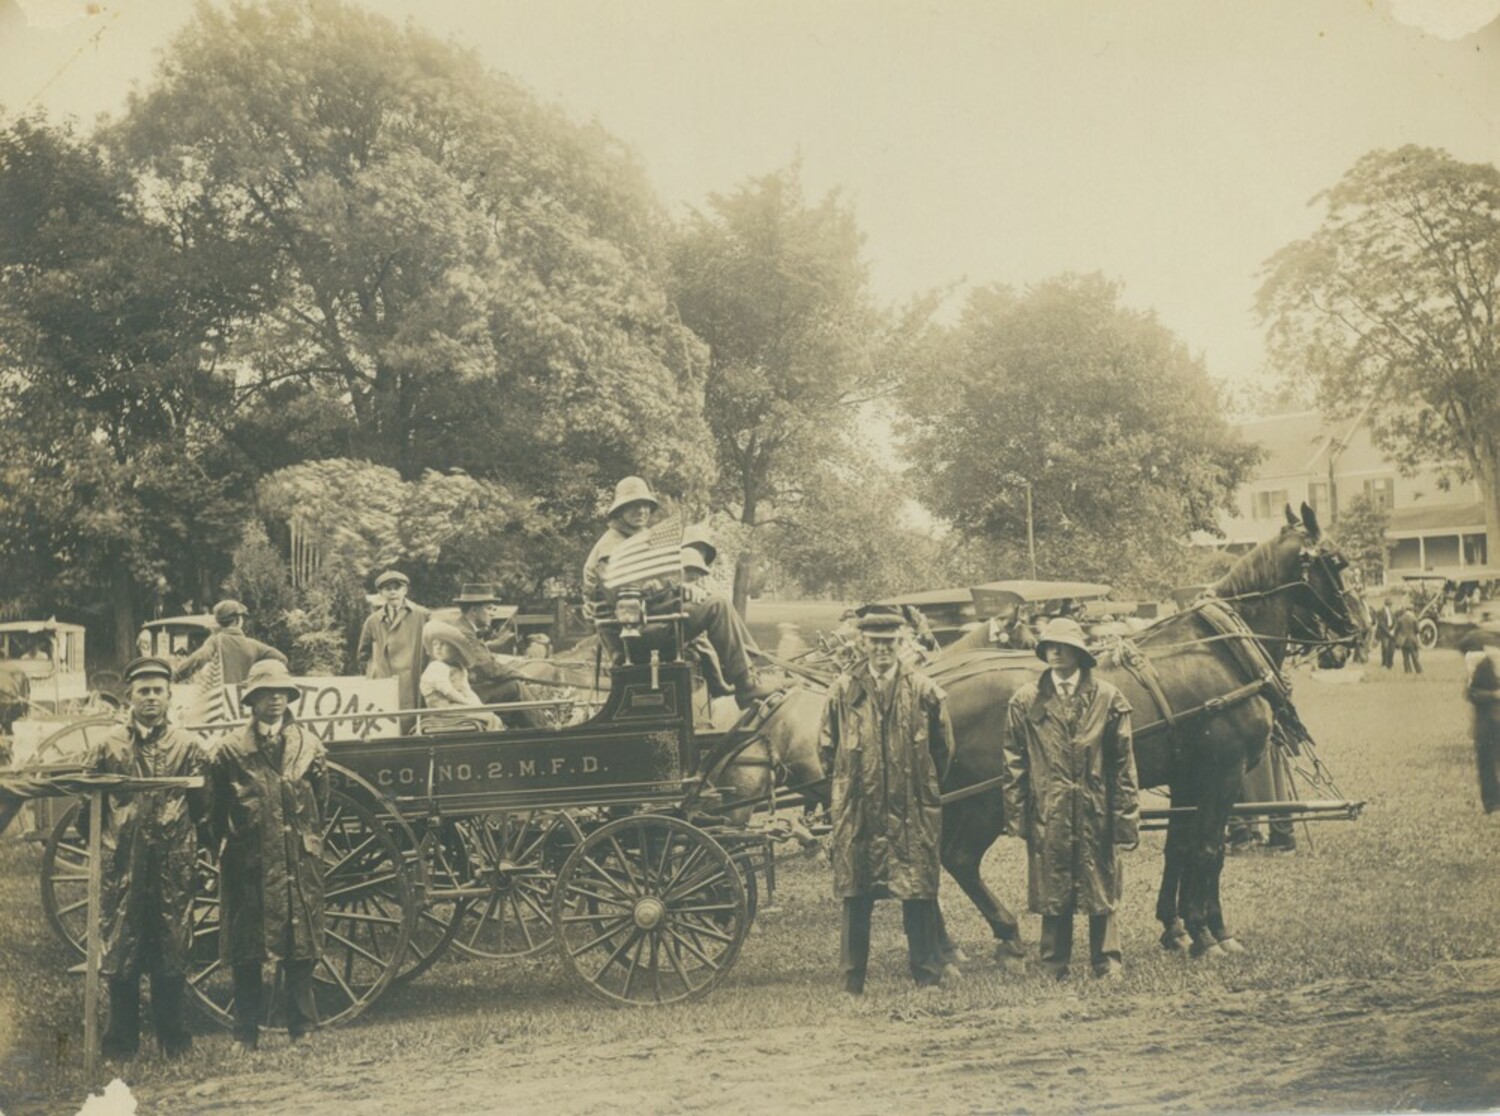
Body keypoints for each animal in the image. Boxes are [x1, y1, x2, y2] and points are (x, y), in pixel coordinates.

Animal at [930, 507, 1368, 960]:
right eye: (1337, 562)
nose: (1360, 629)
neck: (1222, 651)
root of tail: (937, 686)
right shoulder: (1222, 773)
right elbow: (1209, 850)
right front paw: (1210, 932)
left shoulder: (1188, 777)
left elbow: (1180, 848)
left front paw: (1177, 928)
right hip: (987, 801)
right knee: (958, 858)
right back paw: (1001, 932)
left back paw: (946, 947)